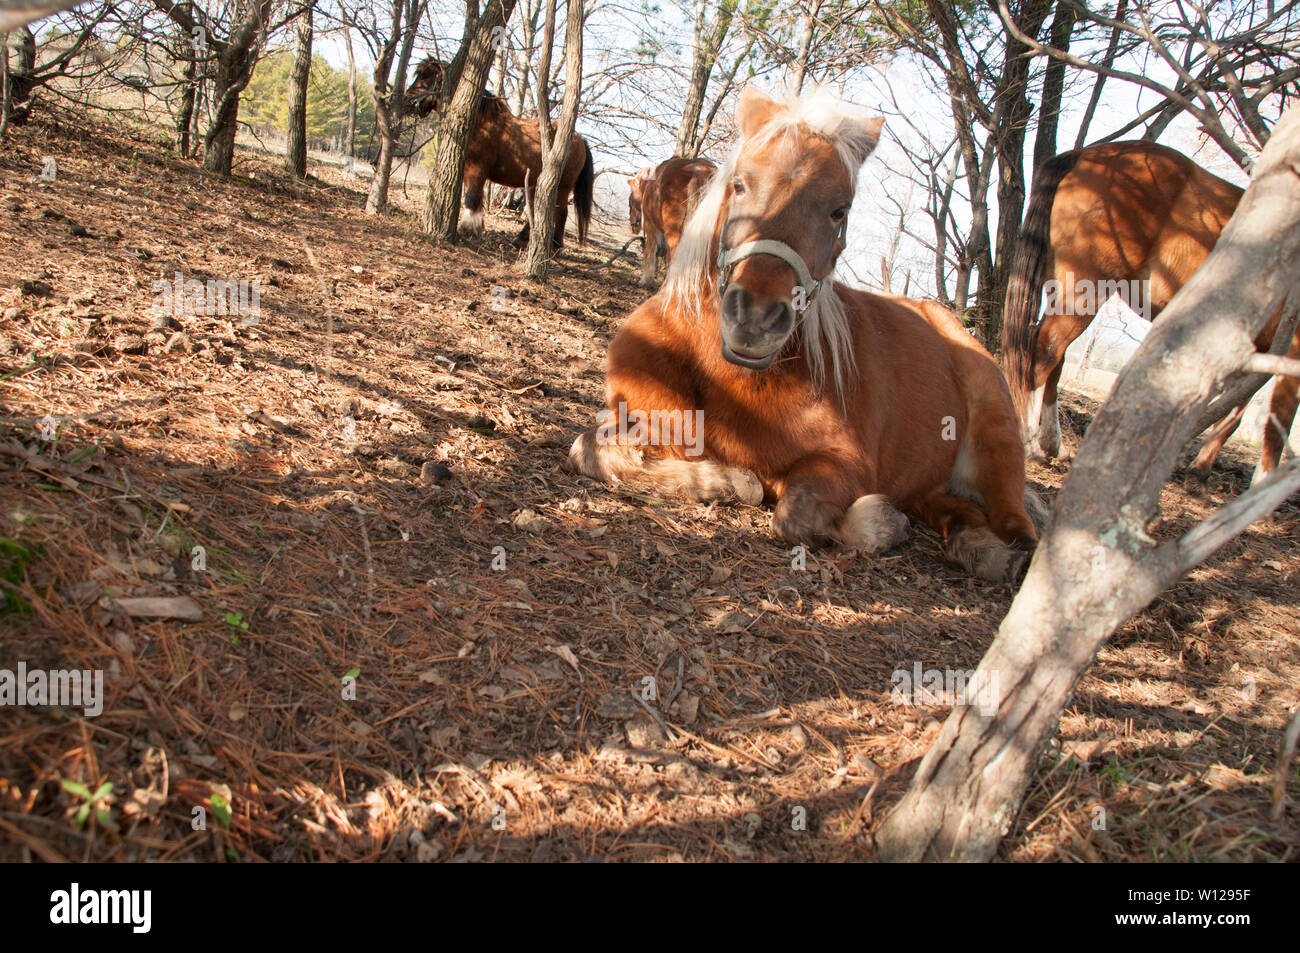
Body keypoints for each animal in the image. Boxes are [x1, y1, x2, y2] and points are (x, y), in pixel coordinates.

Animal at [405, 57, 595, 250]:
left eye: (426, 76)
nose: (408, 99)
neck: (480, 123)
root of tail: (581, 140)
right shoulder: (468, 170)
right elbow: (476, 198)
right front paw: (477, 228)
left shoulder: (477, 169)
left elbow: (472, 197)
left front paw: (467, 229)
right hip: (536, 184)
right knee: (537, 210)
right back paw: (522, 239)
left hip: (562, 187)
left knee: (560, 213)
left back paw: (555, 246)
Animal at [624, 157, 717, 286]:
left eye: (630, 201)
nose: (633, 226)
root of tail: (700, 170)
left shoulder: (651, 227)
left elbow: (649, 252)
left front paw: (645, 280)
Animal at [998, 139, 1294, 483]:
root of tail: (1086, 154)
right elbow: (1277, 423)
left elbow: (1236, 413)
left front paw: (1202, 467)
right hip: (1085, 291)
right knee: (1041, 355)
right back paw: (1031, 442)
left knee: (1051, 356)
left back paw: (1051, 442)